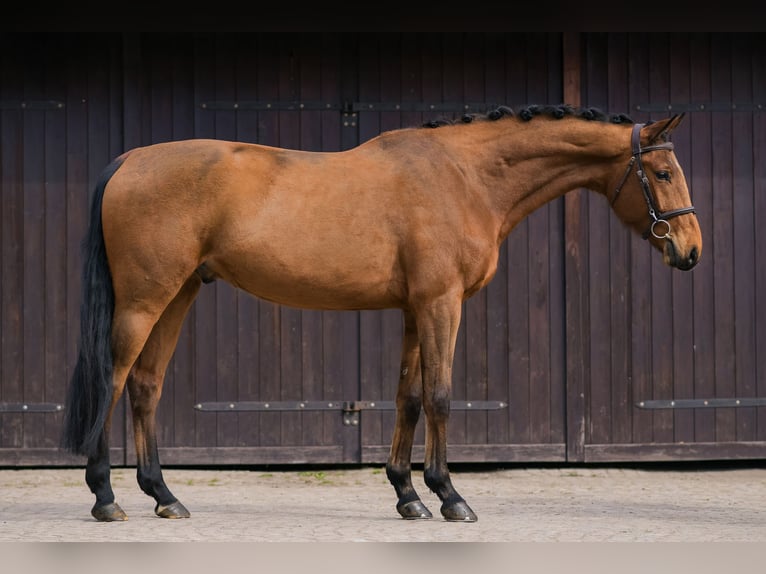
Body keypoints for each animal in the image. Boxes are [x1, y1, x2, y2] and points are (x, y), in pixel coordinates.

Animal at [62, 104, 702, 523]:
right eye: (663, 173)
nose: (690, 251)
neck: (464, 178)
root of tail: (129, 160)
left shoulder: (417, 309)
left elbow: (409, 397)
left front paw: (408, 495)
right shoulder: (442, 303)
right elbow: (440, 395)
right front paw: (451, 497)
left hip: (179, 294)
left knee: (145, 385)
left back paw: (164, 496)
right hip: (145, 299)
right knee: (112, 380)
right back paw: (106, 498)